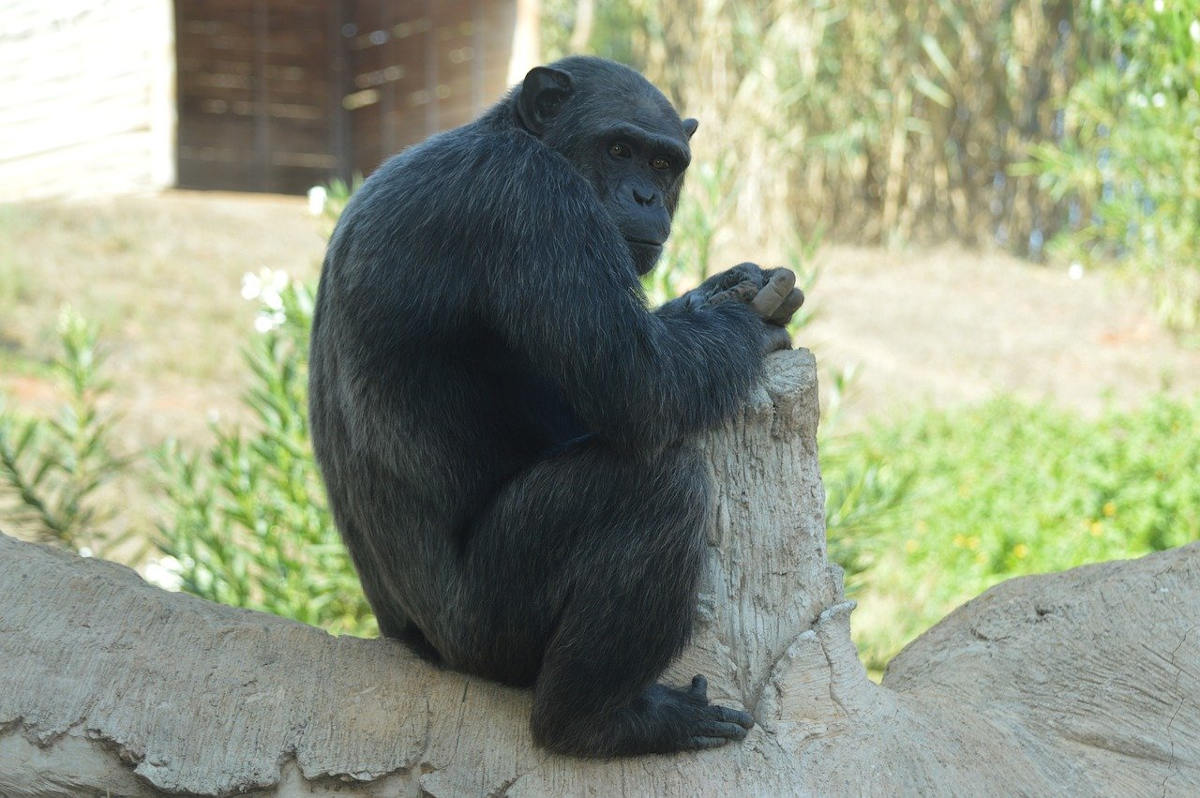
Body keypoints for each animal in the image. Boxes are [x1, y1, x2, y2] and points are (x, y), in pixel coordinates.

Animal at [304, 54, 801, 753]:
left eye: (663, 164)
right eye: (619, 150)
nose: (646, 197)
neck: (512, 135)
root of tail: (416, 647)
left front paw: (724, 288)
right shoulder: (535, 203)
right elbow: (641, 387)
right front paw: (745, 320)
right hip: (492, 629)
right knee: (660, 485)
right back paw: (601, 720)